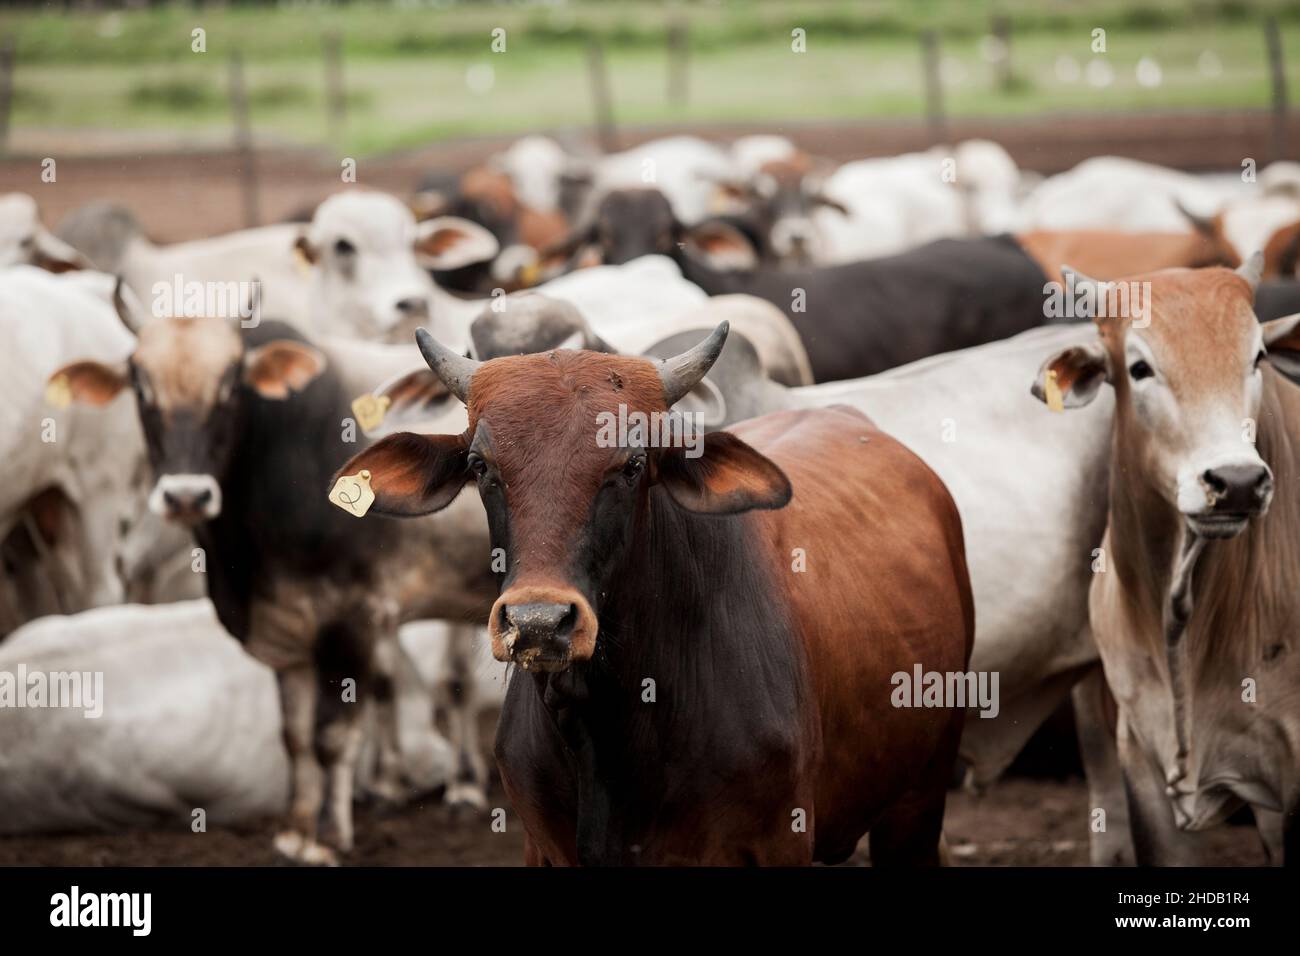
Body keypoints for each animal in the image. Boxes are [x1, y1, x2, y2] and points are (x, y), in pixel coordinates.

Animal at [333, 322, 974, 865]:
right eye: (480, 464)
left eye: (632, 463)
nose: (540, 622)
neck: (608, 724)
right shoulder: (542, 844)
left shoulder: (778, 841)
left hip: (917, 801)